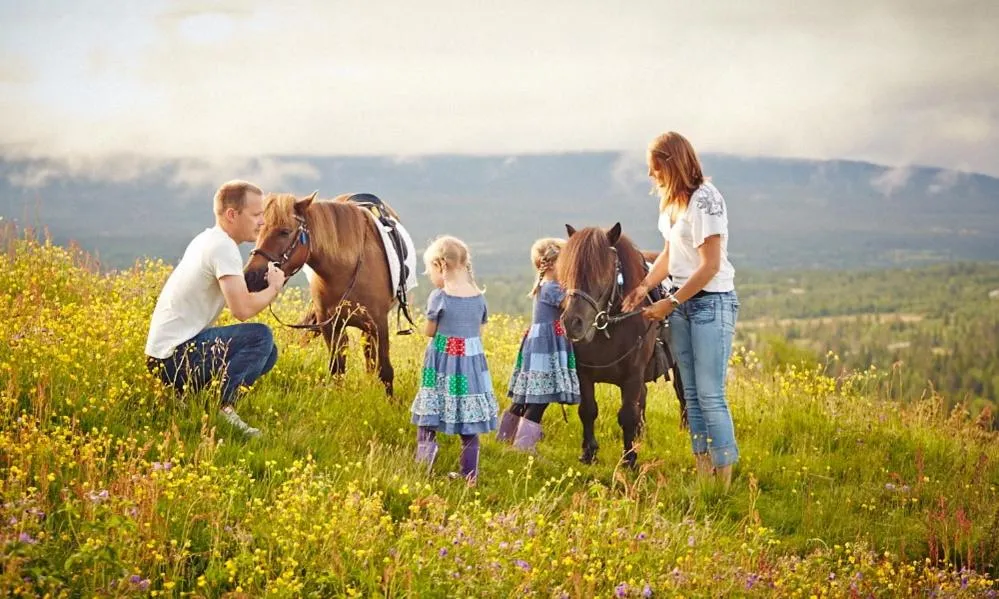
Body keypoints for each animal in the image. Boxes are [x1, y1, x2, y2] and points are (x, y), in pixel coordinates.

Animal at [244, 191, 404, 395]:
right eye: (259, 231)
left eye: (285, 232)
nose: (250, 277)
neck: (346, 269)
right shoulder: (330, 326)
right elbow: (337, 370)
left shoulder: (379, 325)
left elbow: (386, 372)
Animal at [558, 222, 680, 468]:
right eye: (570, 270)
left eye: (602, 273)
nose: (572, 323)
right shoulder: (584, 374)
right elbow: (588, 410)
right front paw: (589, 453)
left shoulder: (632, 376)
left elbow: (627, 415)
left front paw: (629, 459)